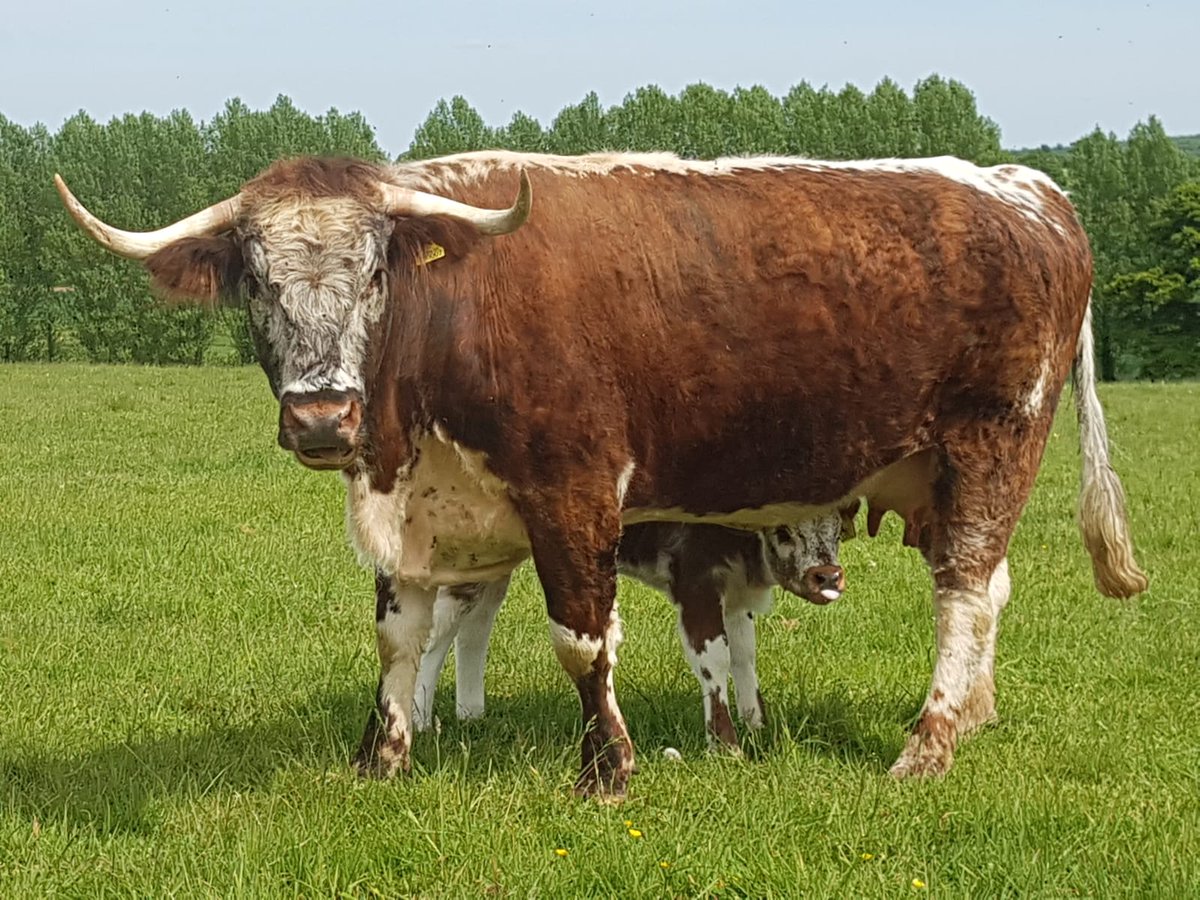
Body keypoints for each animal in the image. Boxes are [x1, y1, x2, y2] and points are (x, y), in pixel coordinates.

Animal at [414, 513, 851, 747]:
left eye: (835, 530)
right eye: (784, 532)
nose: (827, 577)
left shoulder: (736, 593)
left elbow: (744, 654)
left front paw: (757, 722)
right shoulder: (697, 582)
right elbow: (715, 659)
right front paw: (725, 744)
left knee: (475, 628)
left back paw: (471, 713)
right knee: (436, 636)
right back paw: (419, 720)